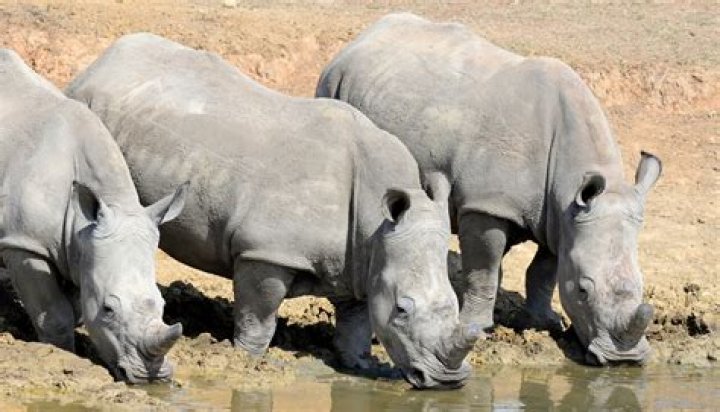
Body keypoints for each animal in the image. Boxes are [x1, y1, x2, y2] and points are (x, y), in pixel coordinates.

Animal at [0, 49, 188, 382]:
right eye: (109, 309)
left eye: (163, 304)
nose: (151, 377)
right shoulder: (25, 243)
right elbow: (55, 314)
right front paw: (61, 353)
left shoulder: (82, 247)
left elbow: (76, 307)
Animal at [66, 33, 481, 389]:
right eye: (402, 309)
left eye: (453, 305)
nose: (448, 382)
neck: (376, 219)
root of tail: (98, 63)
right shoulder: (265, 252)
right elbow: (258, 319)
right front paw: (246, 361)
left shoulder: (360, 259)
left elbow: (356, 323)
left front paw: (361, 366)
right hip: (88, 104)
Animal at [317, 13, 662, 365]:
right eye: (583, 290)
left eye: (643, 286)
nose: (623, 359)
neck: (568, 181)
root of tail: (360, 38)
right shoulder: (487, 205)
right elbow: (484, 270)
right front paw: (479, 328)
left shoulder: (562, 215)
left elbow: (545, 270)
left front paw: (544, 322)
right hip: (333, 82)